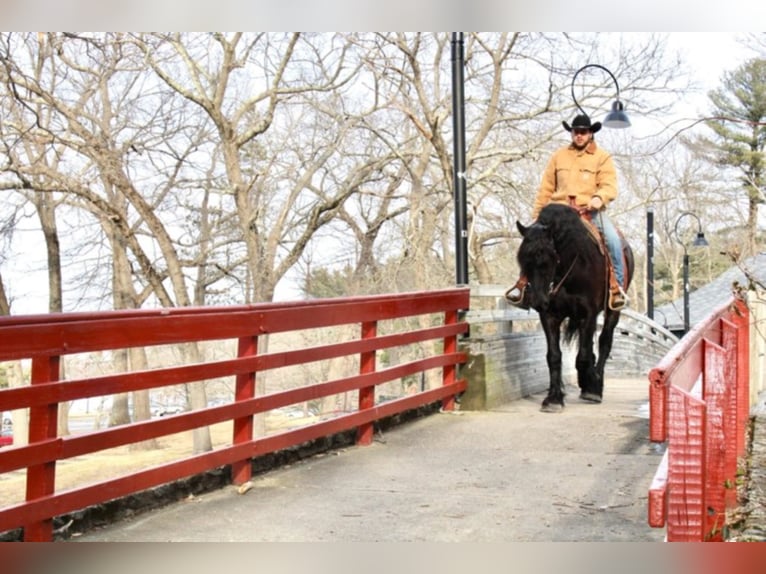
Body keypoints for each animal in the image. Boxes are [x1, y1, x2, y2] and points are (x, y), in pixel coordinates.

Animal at [516, 204, 636, 414]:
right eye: (523, 260)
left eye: (548, 258)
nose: (538, 300)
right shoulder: (549, 316)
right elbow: (554, 356)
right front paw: (554, 398)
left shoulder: (588, 314)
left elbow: (584, 356)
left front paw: (591, 387)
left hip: (613, 311)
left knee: (604, 343)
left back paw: (595, 383)